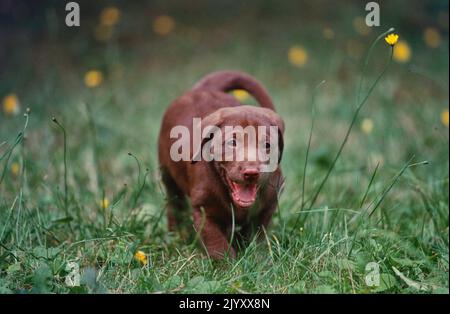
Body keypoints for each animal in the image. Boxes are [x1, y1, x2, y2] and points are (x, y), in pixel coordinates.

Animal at [158, 71, 284, 260]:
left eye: (267, 145)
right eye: (232, 142)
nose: (251, 172)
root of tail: (204, 89)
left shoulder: (268, 203)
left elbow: (258, 234)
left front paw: (257, 257)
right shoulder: (203, 209)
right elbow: (217, 243)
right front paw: (229, 264)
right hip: (167, 172)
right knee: (175, 203)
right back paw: (176, 235)